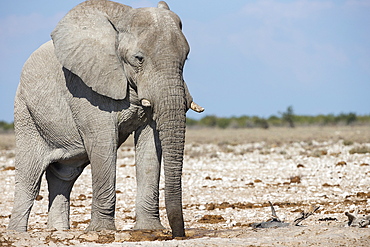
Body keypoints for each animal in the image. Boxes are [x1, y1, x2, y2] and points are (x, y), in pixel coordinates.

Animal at [8, 0, 204, 238]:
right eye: (139, 59)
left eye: (185, 58)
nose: (177, 234)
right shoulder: (84, 87)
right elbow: (103, 143)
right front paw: (102, 231)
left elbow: (150, 145)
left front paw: (149, 229)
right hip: (26, 114)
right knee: (29, 179)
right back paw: (17, 234)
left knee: (64, 177)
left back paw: (59, 232)